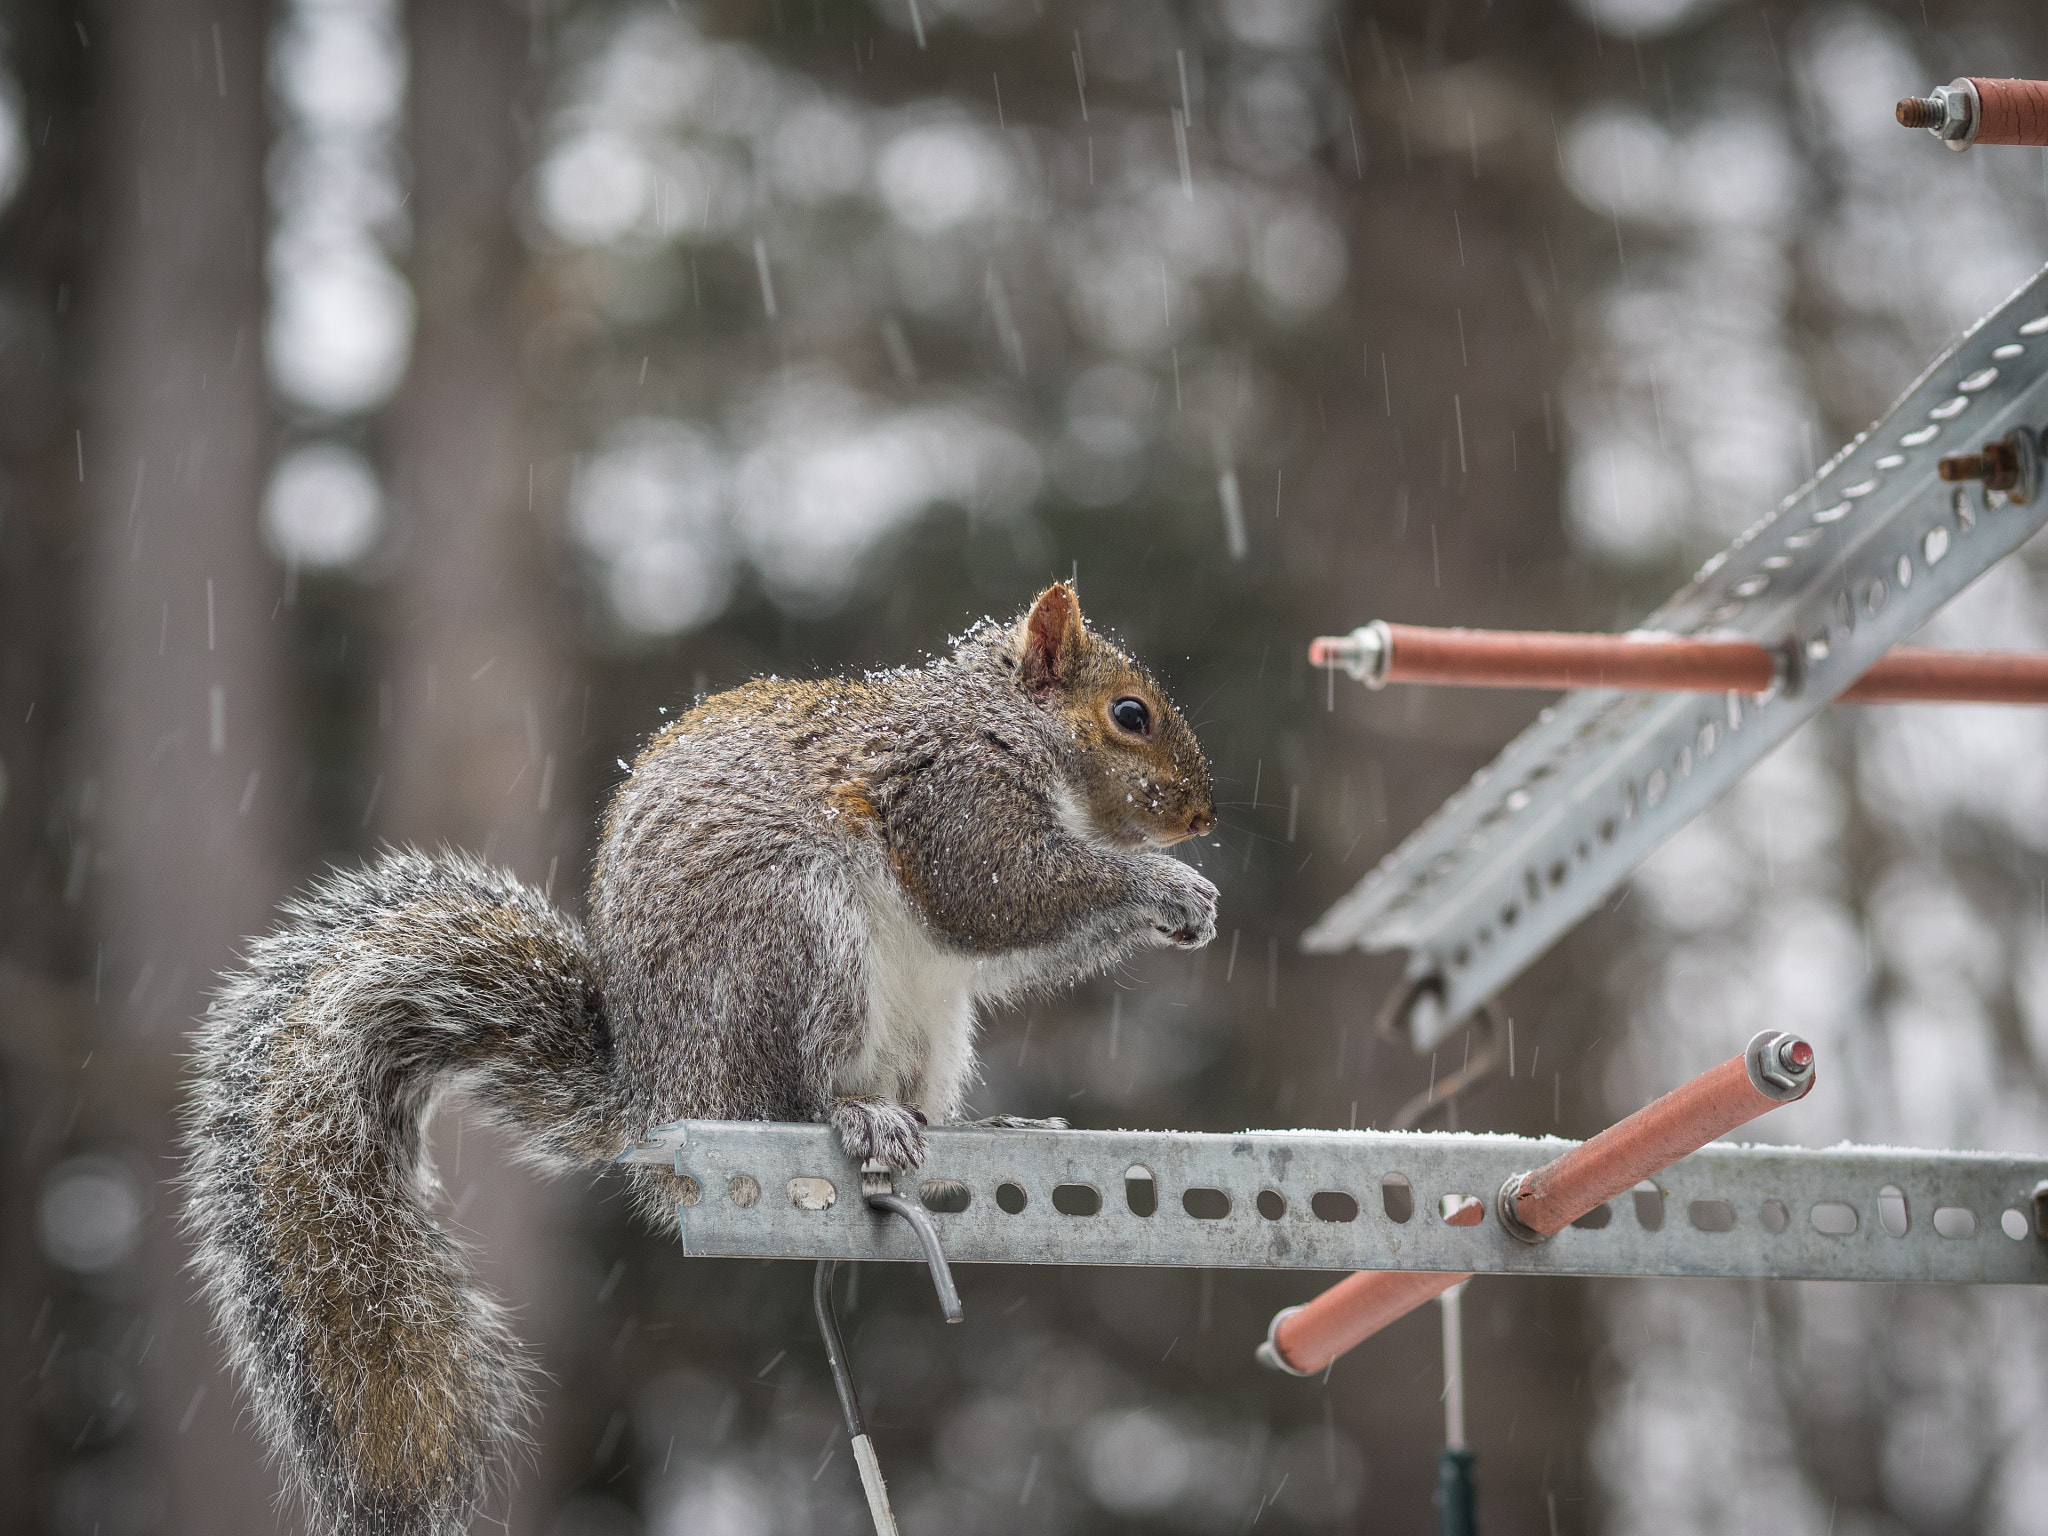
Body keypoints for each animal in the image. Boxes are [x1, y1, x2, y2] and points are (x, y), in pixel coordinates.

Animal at [180, 581, 1212, 1531]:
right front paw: (1165, 886)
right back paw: (855, 1116)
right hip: (795, 944)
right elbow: (995, 895)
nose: (1201, 817)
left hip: (931, 1025)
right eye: (1130, 715)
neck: (998, 726)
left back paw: (969, 1121)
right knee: (789, 1101)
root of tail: (660, 1101)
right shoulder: (952, 803)